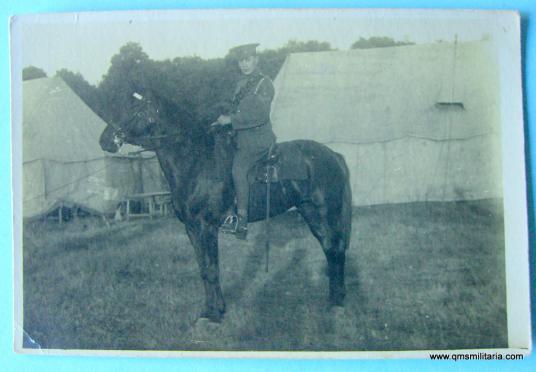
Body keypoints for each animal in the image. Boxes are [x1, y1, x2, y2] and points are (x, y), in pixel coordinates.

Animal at [99, 89, 354, 322]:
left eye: (136, 109)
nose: (105, 140)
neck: (196, 160)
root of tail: (334, 155)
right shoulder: (192, 228)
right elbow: (204, 269)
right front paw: (210, 310)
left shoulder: (207, 226)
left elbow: (212, 269)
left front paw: (214, 315)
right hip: (311, 212)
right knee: (331, 249)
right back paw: (335, 299)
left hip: (326, 213)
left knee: (335, 249)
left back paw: (337, 304)